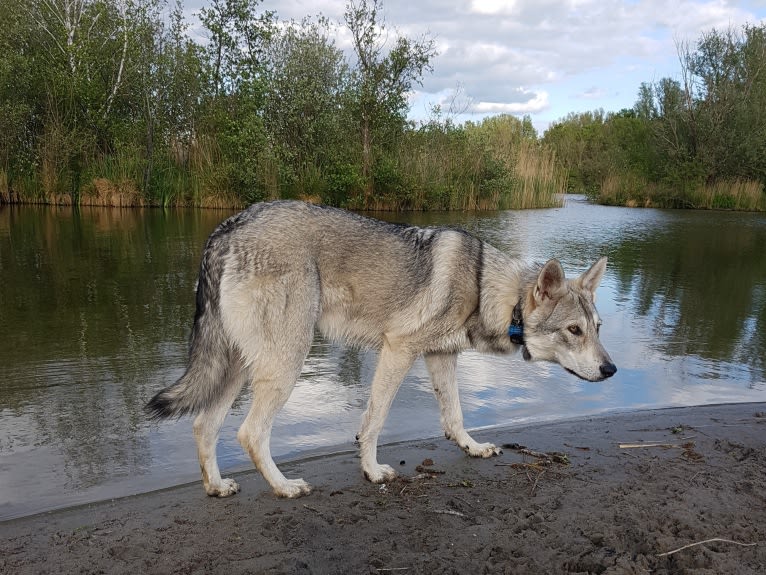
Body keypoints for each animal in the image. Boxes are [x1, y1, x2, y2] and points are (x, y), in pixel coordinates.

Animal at [148, 201, 616, 500]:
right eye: (573, 330)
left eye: (597, 329)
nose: (611, 370)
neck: (485, 286)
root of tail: (227, 227)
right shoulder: (398, 351)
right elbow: (374, 421)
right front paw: (372, 471)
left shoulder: (440, 358)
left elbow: (455, 415)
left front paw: (472, 447)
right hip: (285, 363)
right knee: (249, 433)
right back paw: (284, 487)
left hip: (238, 368)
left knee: (203, 426)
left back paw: (216, 486)